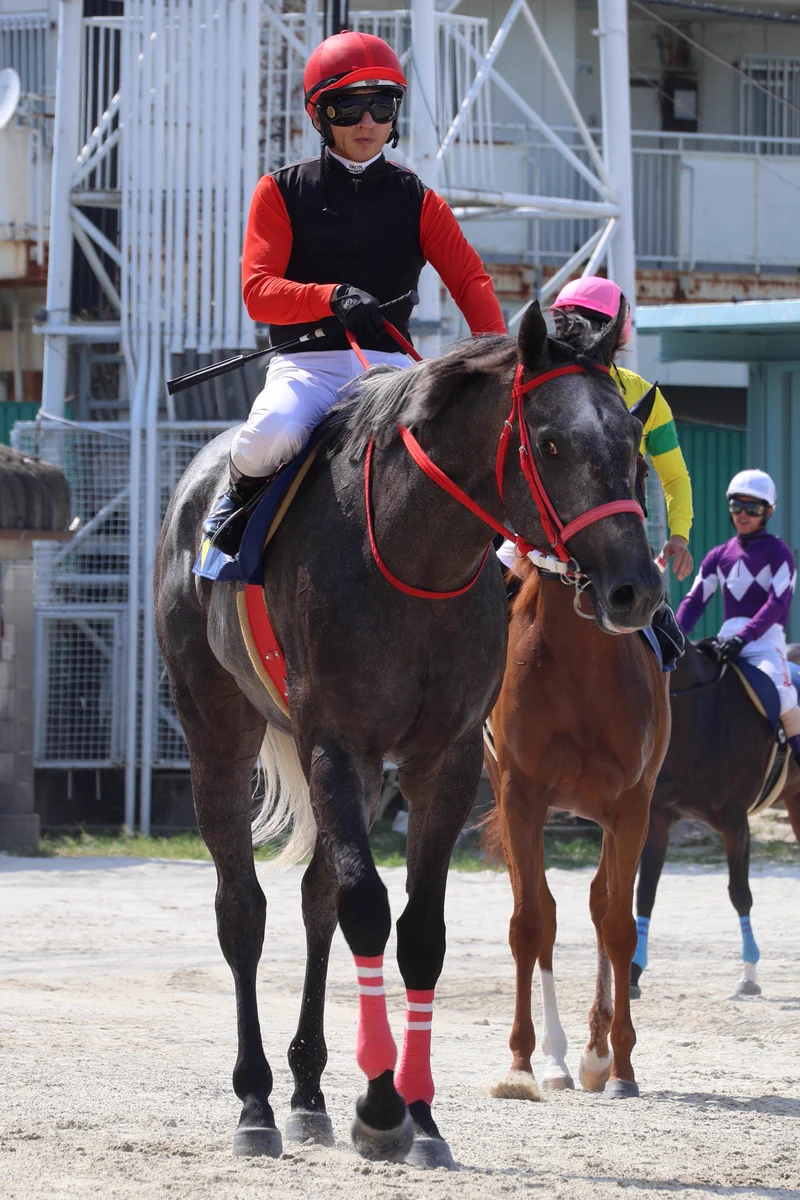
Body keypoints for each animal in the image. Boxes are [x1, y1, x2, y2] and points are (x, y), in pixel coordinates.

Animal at [483, 412, 670, 1102]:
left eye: (639, 463)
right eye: (553, 452)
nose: (632, 589)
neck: (581, 665)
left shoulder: (632, 805)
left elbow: (618, 925)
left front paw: (619, 1066)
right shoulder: (521, 795)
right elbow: (530, 922)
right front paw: (521, 1062)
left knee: (596, 903)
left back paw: (592, 1052)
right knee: (545, 905)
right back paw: (560, 1057)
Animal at [632, 640, 800, 999]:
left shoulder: (735, 821)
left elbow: (739, 893)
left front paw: (749, 974)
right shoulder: (658, 820)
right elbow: (645, 894)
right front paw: (633, 974)